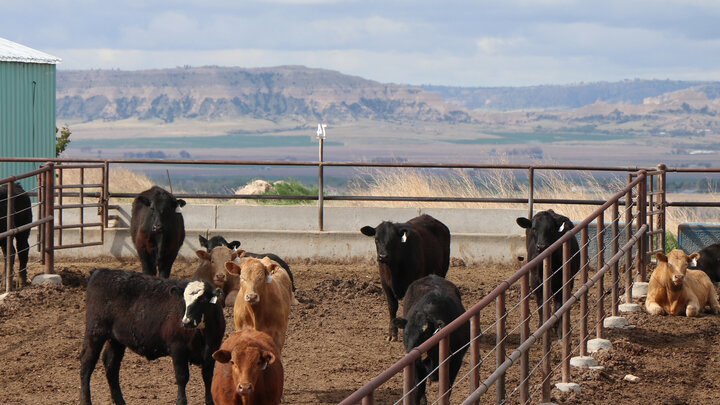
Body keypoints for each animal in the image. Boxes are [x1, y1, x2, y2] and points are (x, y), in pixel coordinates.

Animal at [80, 268, 225, 405]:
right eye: (184, 301)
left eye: (203, 300)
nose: (186, 322)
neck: (203, 334)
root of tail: (100, 271)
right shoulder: (177, 348)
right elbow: (182, 377)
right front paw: (181, 401)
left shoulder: (212, 349)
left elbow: (208, 377)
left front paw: (210, 401)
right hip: (95, 332)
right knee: (87, 363)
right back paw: (85, 400)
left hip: (116, 340)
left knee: (111, 366)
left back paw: (120, 401)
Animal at [392, 275, 469, 405]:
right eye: (406, 333)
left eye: (425, 334)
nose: (410, 353)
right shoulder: (418, 366)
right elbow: (418, 391)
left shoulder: (456, 361)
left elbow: (447, 389)